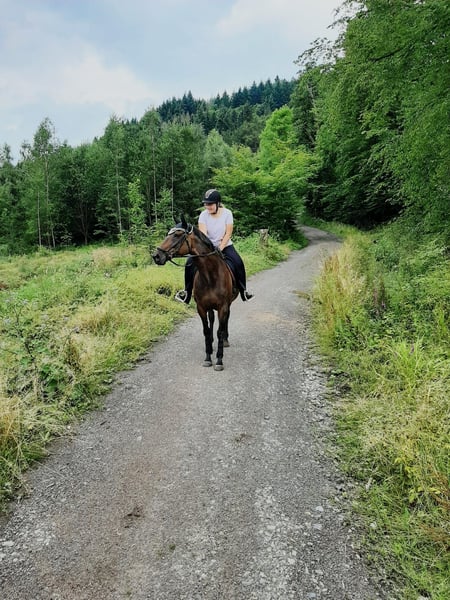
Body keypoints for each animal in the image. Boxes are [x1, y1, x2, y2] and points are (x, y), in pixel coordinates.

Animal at [152, 217, 238, 371]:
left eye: (177, 235)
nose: (156, 256)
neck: (210, 275)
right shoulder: (201, 307)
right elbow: (206, 330)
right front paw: (208, 357)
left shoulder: (223, 306)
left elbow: (220, 331)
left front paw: (219, 360)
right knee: (212, 320)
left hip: (227, 305)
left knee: (225, 321)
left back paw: (225, 340)